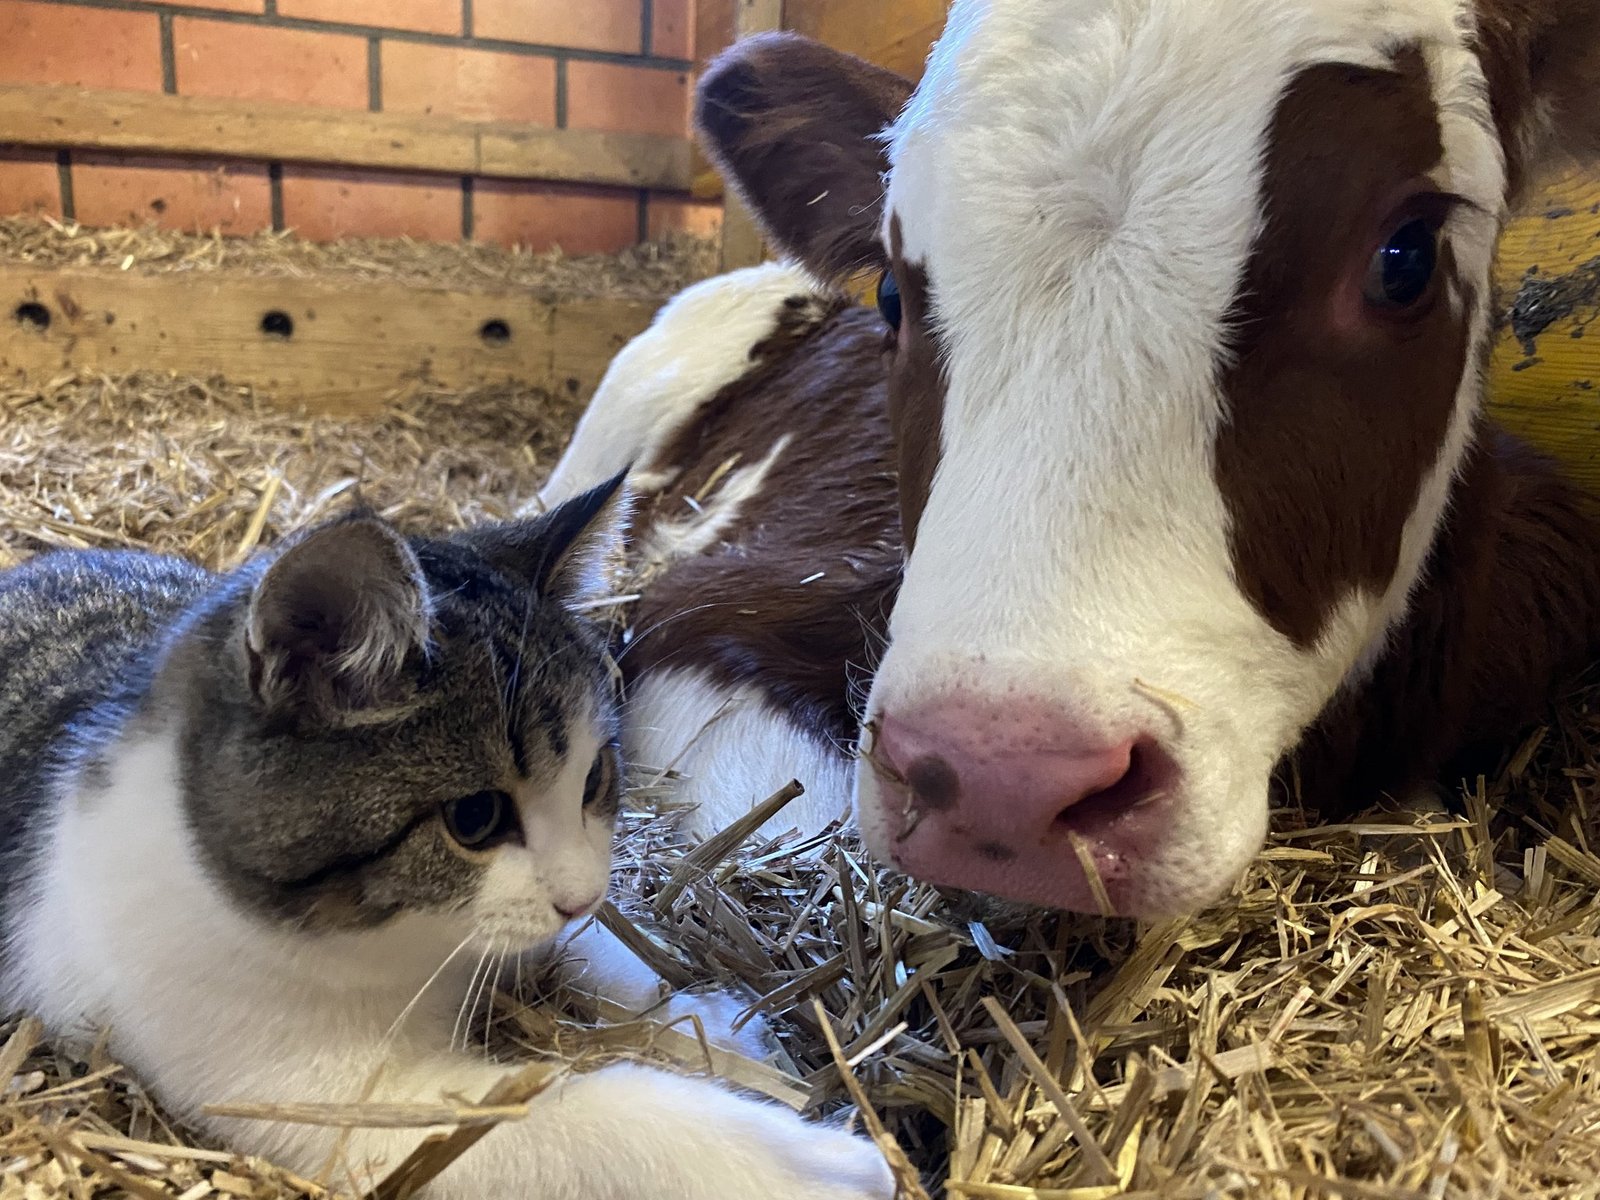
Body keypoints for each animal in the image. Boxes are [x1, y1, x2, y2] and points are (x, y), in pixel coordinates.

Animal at [0, 473, 895, 1200]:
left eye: (596, 779)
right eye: (474, 820)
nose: (583, 896)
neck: (404, 947)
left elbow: (606, 955)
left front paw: (713, 1020)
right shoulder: (341, 1102)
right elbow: (568, 1125)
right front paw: (798, 1164)